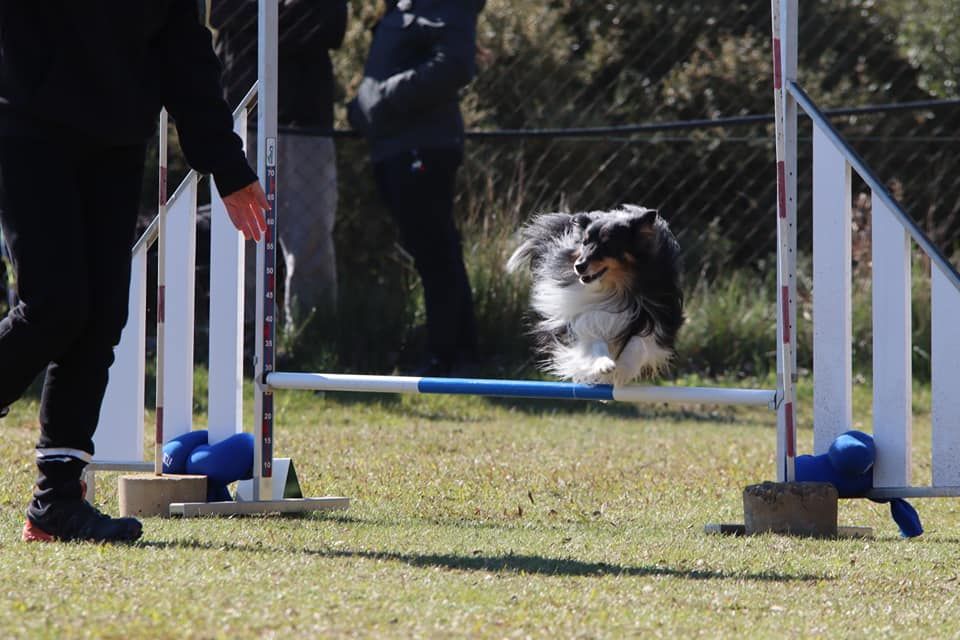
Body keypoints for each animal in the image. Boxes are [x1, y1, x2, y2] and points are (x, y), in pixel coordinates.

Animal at [510, 205, 684, 384]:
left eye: (607, 245)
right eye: (585, 242)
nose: (579, 266)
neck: (613, 289)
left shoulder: (655, 317)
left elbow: (640, 344)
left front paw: (624, 368)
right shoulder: (583, 316)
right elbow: (593, 339)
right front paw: (604, 365)